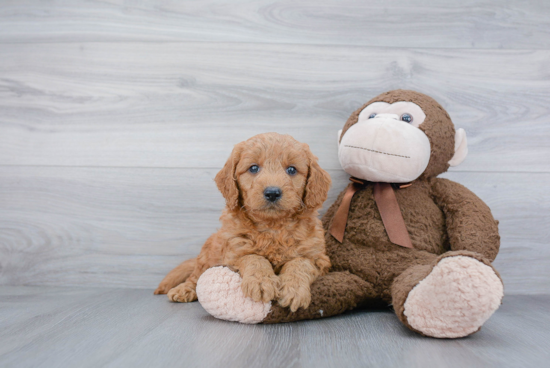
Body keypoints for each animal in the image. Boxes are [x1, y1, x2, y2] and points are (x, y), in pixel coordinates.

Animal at [153, 132, 332, 310]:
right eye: (253, 168)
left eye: (292, 169)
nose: (272, 192)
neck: (272, 227)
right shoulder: (234, 253)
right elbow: (254, 258)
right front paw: (261, 282)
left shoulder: (318, 259)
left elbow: (300, 263)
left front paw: (294, 290)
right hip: (207, 255)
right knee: (196, 276)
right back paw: (184, 289)